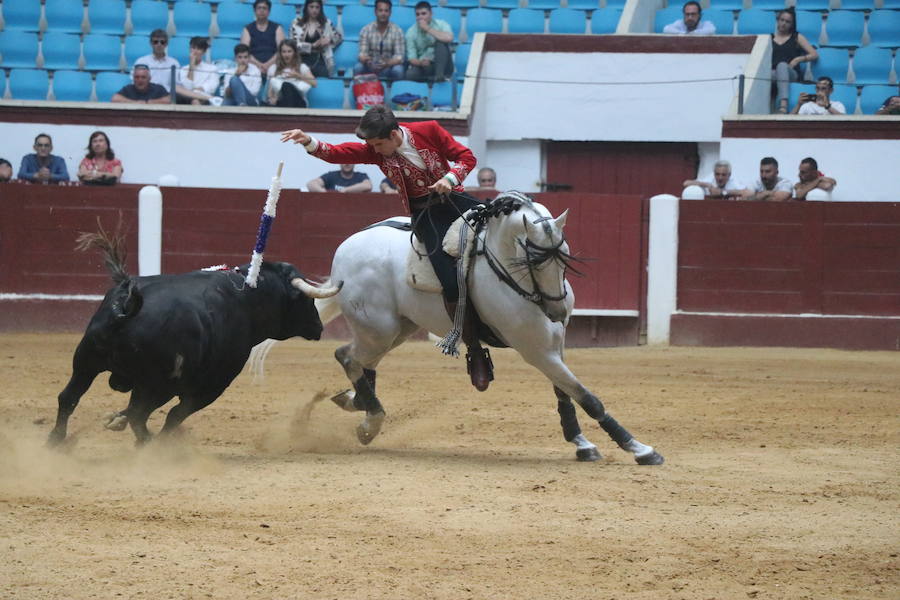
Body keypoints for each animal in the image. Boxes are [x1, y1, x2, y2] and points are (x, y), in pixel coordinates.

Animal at [47, 238, 340, 446]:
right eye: (306, 300)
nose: (319, 326)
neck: (247, 298)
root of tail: (127, 308)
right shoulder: (210, 386)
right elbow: (175, 414)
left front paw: (114, 420)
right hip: (154, 382)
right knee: (138, 414)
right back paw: (148, 444)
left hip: (87, 361)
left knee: (69, 398)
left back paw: (57, 441)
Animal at [256, 192, 664, 464]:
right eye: (533, 260)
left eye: (564, 255)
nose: (557, 309)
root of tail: (345, 250)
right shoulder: (535, 351)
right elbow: (586, 395)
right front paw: (639, 448)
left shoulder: (554, 344)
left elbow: (565, 393)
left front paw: (581, 442)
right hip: (380, 328)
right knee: (349, 356)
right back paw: (370, 421)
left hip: (398, 329)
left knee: (355, 359)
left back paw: (357, 405)